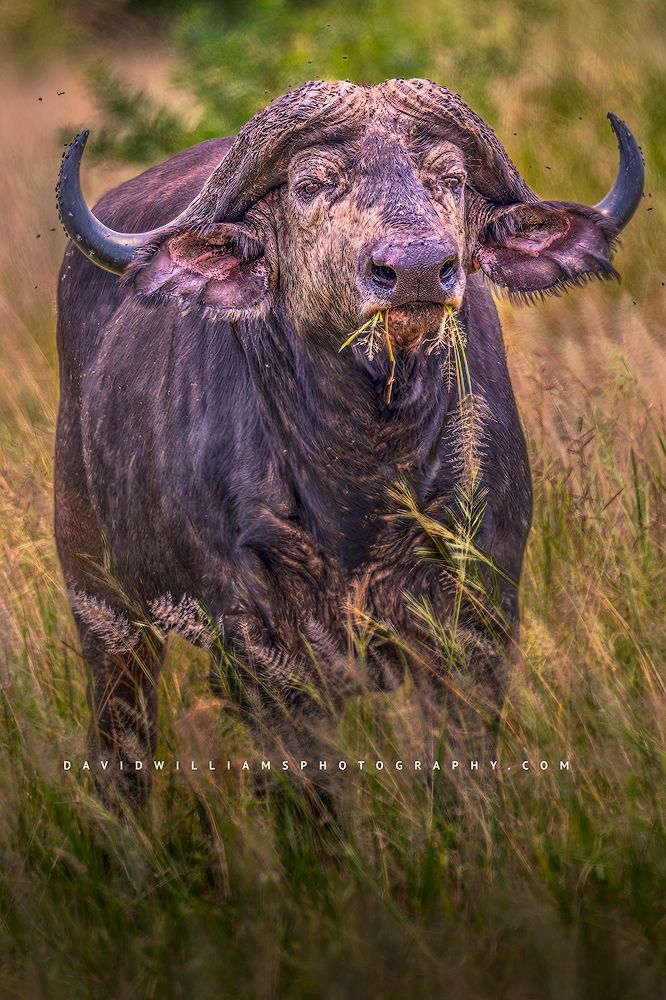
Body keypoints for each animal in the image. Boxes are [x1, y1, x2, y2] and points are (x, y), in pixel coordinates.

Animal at [55, 79, 643, 802]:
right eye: (312, 183)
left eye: (450, 177)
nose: (418, 269)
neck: (363, 471)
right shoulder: (269, 661)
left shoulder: (478, 631)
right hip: (104, 613)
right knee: (123, 752)